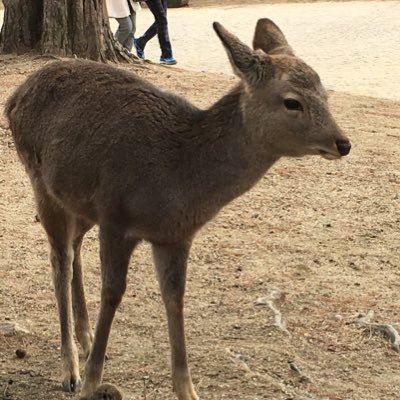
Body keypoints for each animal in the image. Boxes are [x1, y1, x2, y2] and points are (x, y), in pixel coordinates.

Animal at [5, 18, 350, 400]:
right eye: (292, 101)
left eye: (325, 93)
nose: (343, 143)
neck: (176, 177)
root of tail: (15, 95)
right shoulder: (115, 216)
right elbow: (112, 293)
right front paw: (92, 381)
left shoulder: (176, 235)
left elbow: (175, 297)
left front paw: (188, 389)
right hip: (41, 184)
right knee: (60, 261)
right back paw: (70, 369)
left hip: (78, 202)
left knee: (74, 248)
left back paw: (86, 337)